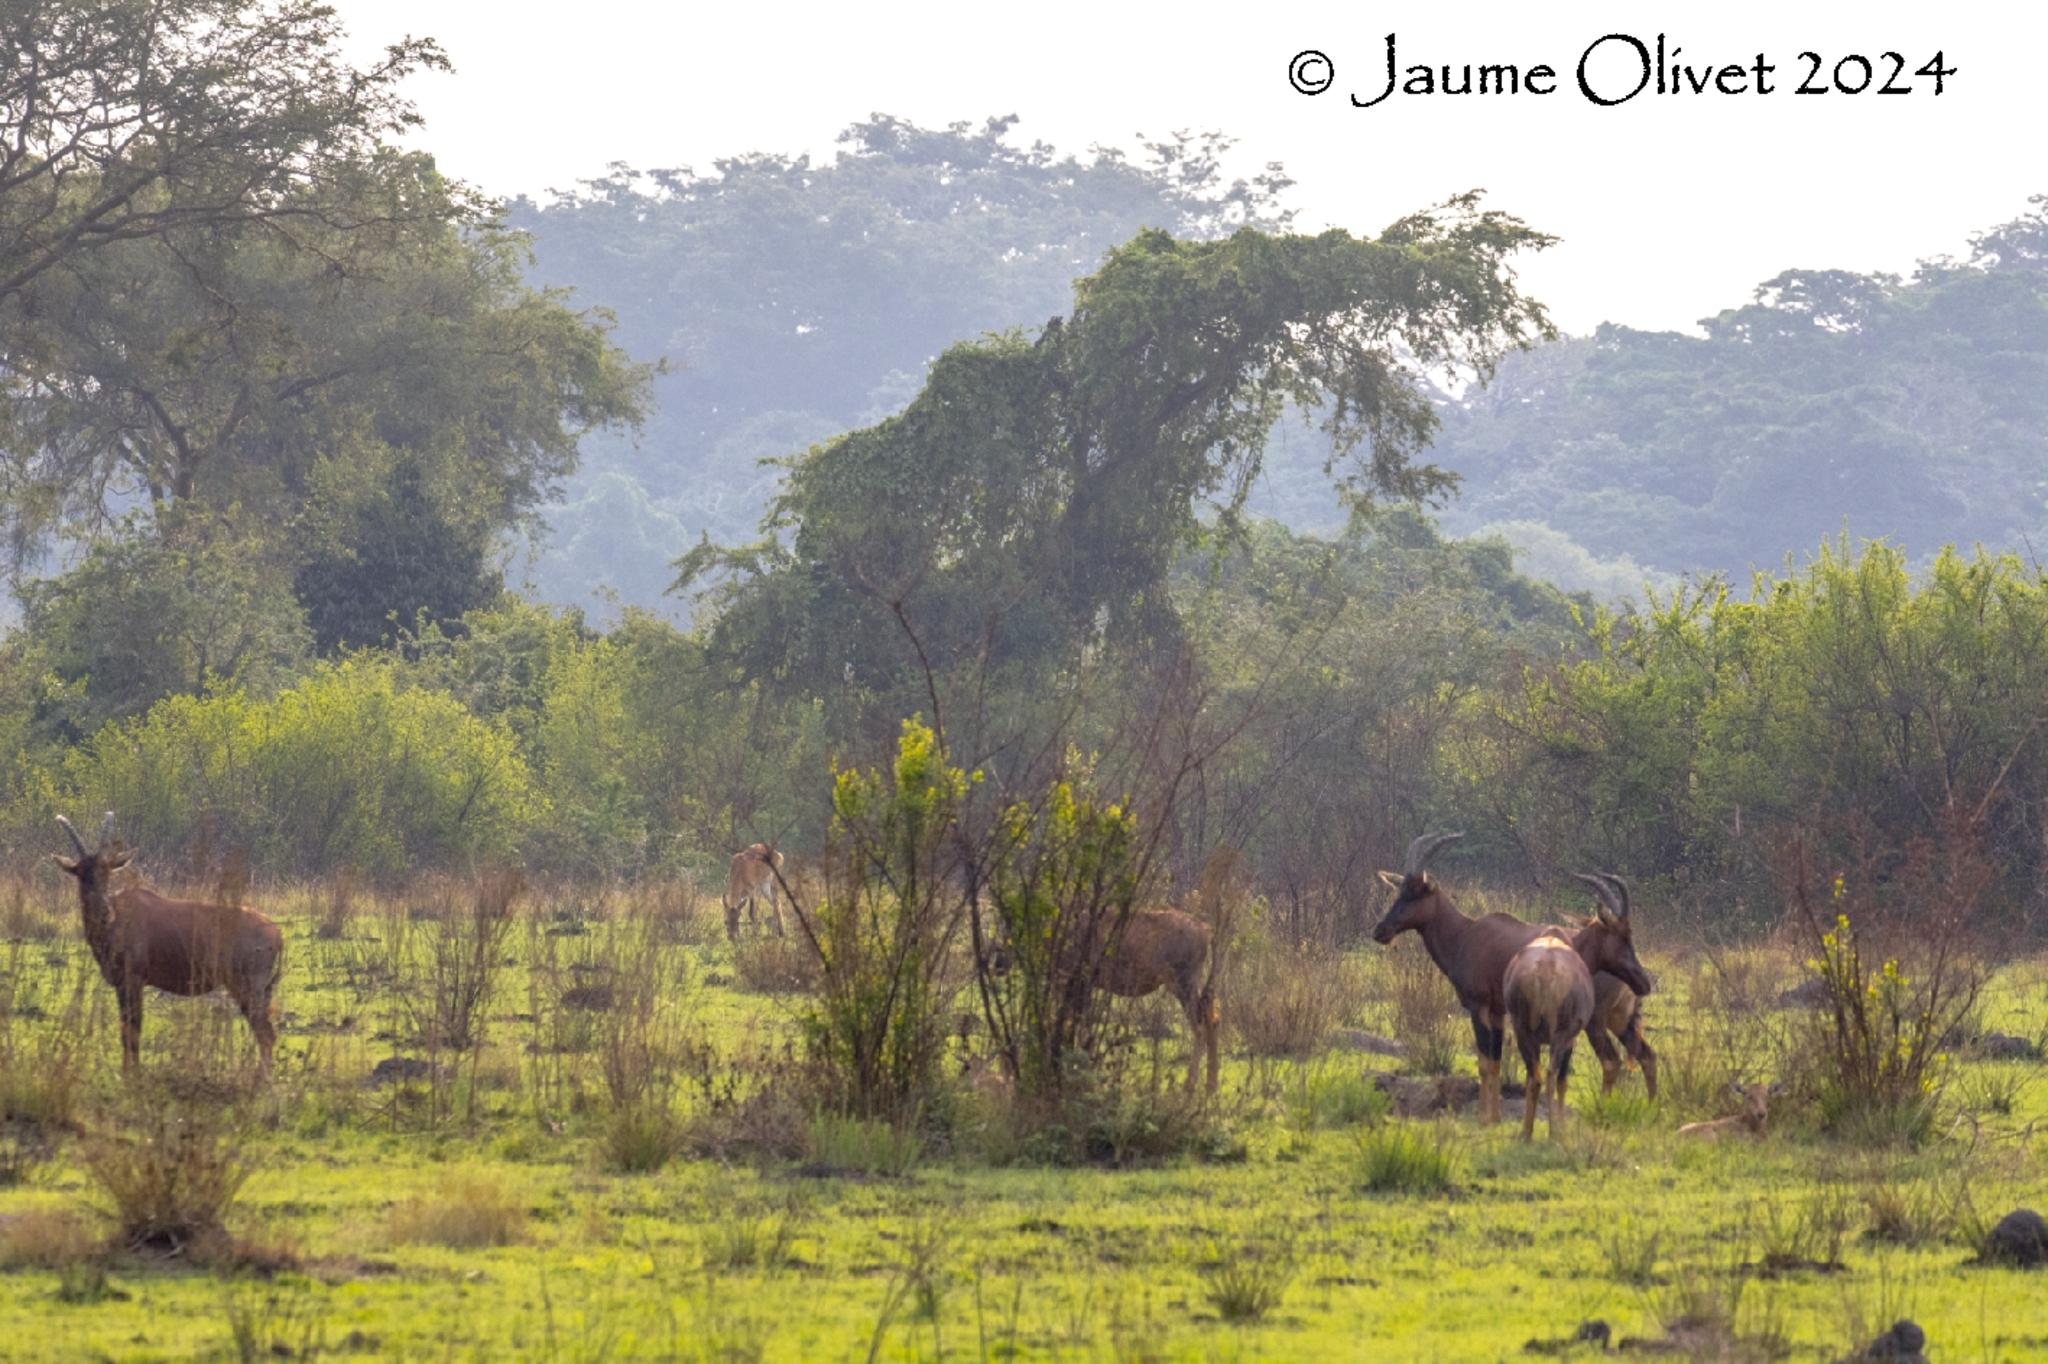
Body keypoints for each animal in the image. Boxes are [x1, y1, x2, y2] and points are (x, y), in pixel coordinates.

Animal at [49, 806, 284, 1073]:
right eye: (81, 874)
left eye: (107, 872)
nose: (104, 913)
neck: (122, 914)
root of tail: (275, 932)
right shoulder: (122, 985)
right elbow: (126, 1029)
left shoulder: (133, 981)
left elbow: (133, 1029)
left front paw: (132, 1073)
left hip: (248, 988)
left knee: (266, 1033)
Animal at [1368, 835, 1540, 1122]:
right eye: (1398, 890)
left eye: (1416, 892)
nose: (1380, 931)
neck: (1467, 933)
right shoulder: (1497, 1011)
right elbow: (1495, 1061)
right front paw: (1494, 1118)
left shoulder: (1478, 1006)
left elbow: (1484, 1063)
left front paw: (1484, 1120)